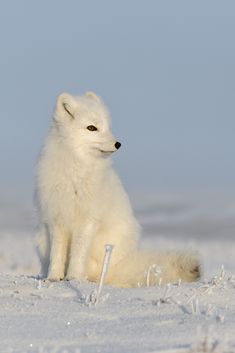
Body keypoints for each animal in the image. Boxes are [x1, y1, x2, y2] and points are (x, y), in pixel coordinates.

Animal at [35, 92, 200, 288]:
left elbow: (78, 253)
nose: (118, 144)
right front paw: (53, 277)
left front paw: (74, 278)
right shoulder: (56, 218)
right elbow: (57, 254)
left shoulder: (88, 220)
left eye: (107, 127)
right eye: (92, 128)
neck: (76, 171)